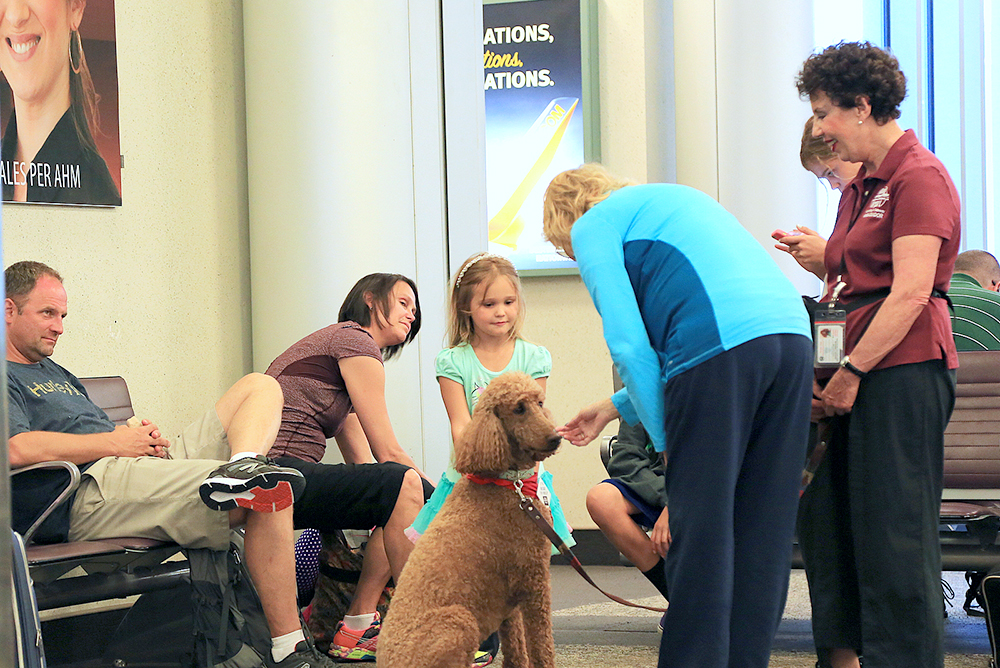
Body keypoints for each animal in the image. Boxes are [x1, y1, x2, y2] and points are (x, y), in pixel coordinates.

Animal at [376, 370, 564, 668]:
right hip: (459, 622)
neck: (510, 482)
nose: (556, 438)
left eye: (540, 403)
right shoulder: (533, 579)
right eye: (519, 408)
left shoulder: (509, 599)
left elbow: (516, 647)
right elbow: (540, 647)